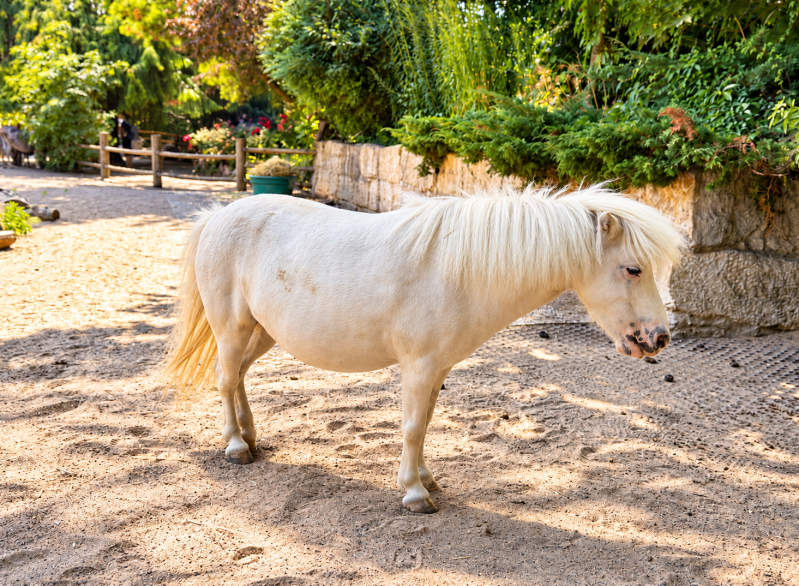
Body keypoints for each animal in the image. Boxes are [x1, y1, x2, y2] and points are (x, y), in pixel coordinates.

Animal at [163, 184, 686, 514]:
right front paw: (415, 493)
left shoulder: (437, 369)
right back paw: (236, 446)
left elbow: (427, 424)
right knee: (226, 378)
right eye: (633, 269)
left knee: (239, 376)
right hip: (231, 328)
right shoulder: (418, 366)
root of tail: (218, 216)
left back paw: (251, 437)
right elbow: (413, 428)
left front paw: (427, 478)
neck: (459, 271)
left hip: (263, 332)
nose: (658, 337)